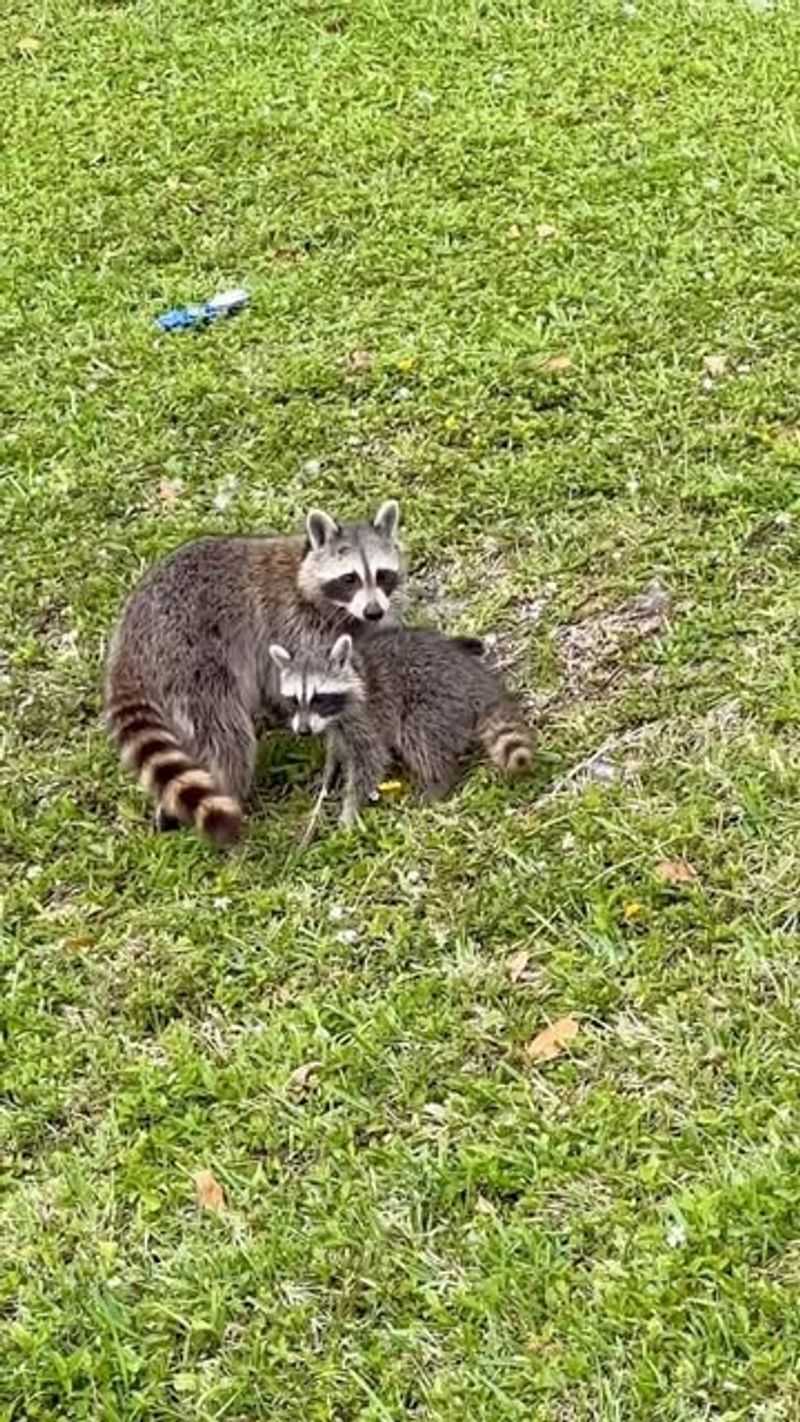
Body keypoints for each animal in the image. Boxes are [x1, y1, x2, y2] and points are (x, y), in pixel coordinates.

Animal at [104, 500, 403, 844]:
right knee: (226, 735)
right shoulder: (293, 626)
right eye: (349, 578)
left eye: (382, 574)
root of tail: (128, 645)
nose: (374, 611)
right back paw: (230, 789)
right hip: (190, 662)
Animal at [269, 625, 532, 832]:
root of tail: (474, 677)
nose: (303, 731)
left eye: (319, 698)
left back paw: (438, 781)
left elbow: (371, 759)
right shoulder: (337, 725)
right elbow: (340, 747)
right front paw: (330, 771)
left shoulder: (367, 715)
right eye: (294, 700)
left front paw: (350, 809)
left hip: (432, 696)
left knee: (418, 736)